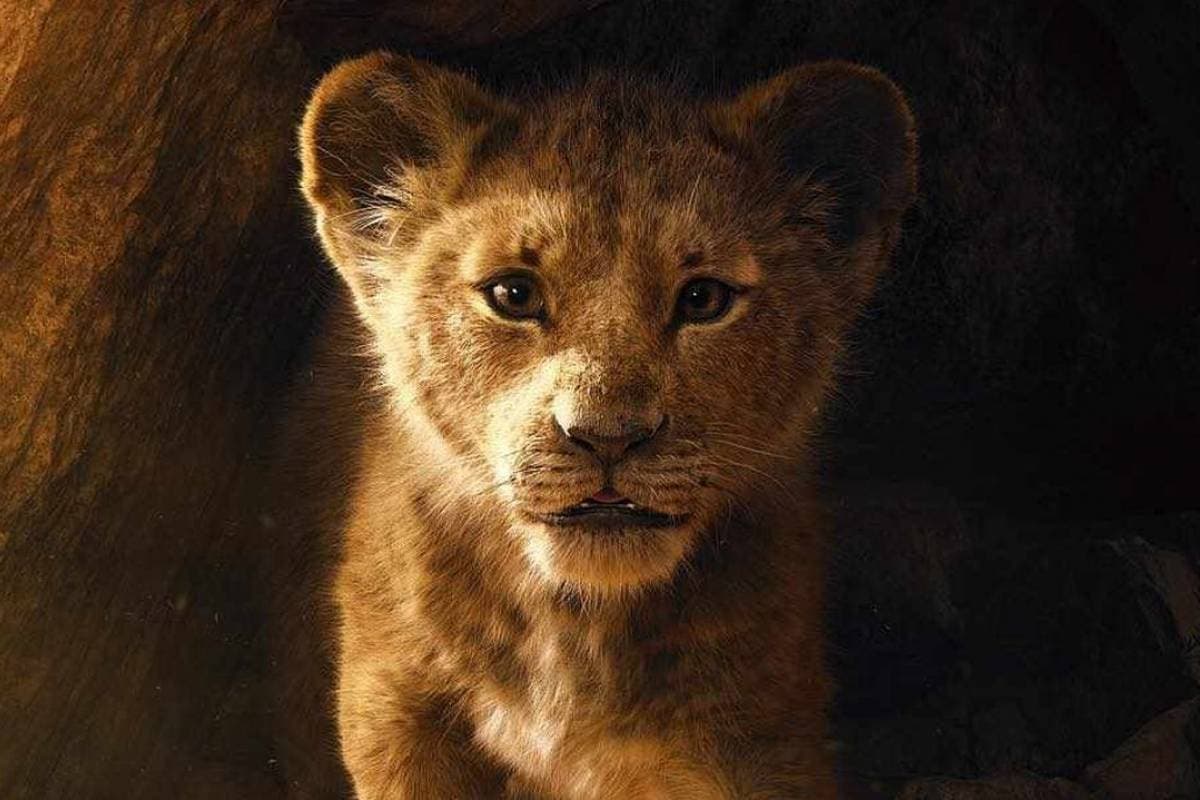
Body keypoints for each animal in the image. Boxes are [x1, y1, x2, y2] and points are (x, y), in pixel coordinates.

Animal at [279, 50, 916, 799]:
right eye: (513, 294)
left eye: (704, 299)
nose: (608, 435)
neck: (575, 627)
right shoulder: (397, 712)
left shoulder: (758, 741)